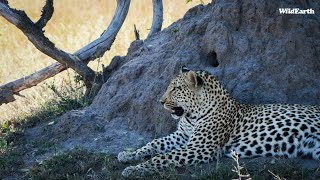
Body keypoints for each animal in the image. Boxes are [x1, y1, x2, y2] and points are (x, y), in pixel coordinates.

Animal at [117, 66, 320, 177]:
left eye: (175, 89)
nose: (160, 101)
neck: (192, 115)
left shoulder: (199, 148)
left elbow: (163, 157)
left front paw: (134, 170)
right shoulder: (181, 136)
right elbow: (154, 143)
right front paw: (128, 155)